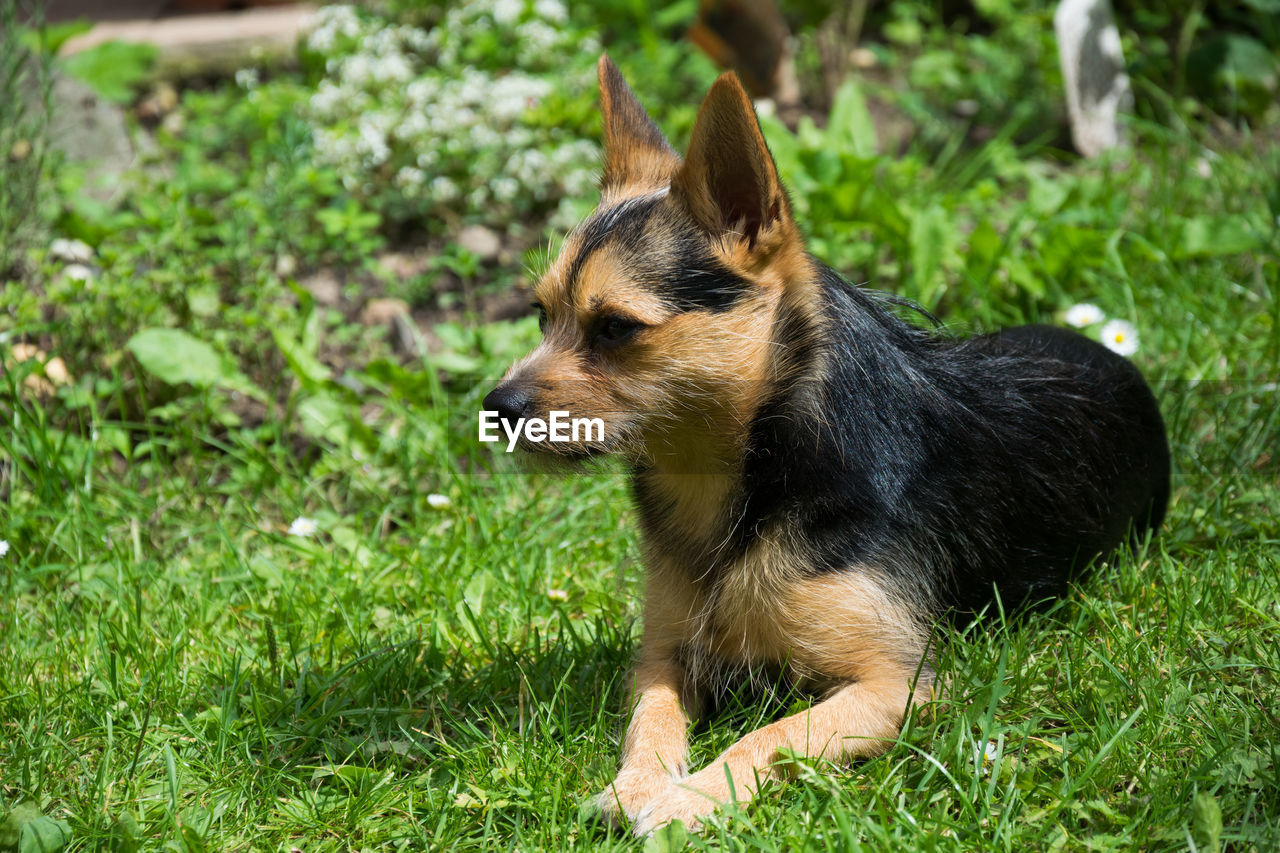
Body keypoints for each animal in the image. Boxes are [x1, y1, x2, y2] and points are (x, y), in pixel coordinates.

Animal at [481, 56, 1172, 835]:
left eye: (616, 327)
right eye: (541, 314)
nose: (496, 407)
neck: (738, 482)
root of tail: (1104, 346)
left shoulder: (897, 683)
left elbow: (774, 734)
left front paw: (690, 798)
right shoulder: (661, 653)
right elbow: (648, 719)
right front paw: (640, 781)